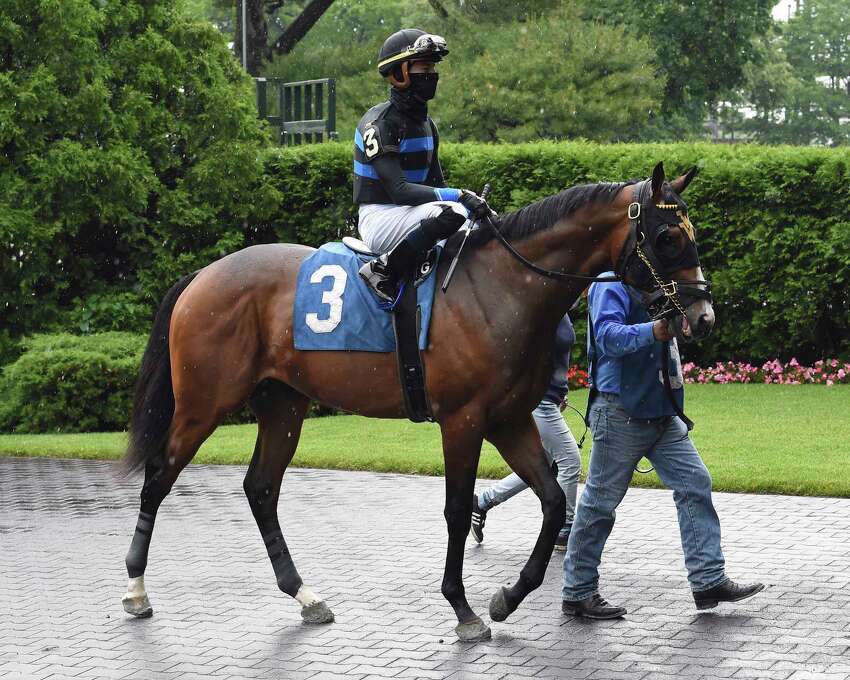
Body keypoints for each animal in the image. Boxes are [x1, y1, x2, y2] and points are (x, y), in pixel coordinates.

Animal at [120, 162, 713, 641]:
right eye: (666, 236)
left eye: (691, 232)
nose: (701, 314)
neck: (502, 285)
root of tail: (205, 273)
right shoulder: (464, 420)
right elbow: (455, 508)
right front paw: (463, 608)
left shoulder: (508, 419)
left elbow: (551, 500)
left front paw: (508, 596)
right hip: (203, 404)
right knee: (158, 476)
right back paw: (136, 589)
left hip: (284, 405)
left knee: (261, 489)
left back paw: (305, 595)